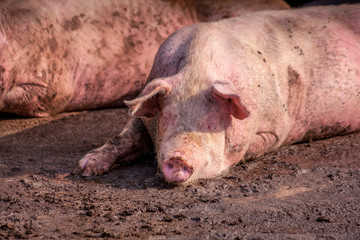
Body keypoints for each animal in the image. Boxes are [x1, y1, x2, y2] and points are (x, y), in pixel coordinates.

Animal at [75, 3, 360, 184]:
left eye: (212, 123)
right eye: (167, 118)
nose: (178, 158)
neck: (197, 69)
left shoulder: (277, 128)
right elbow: (124, 137)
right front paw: (86, 168)